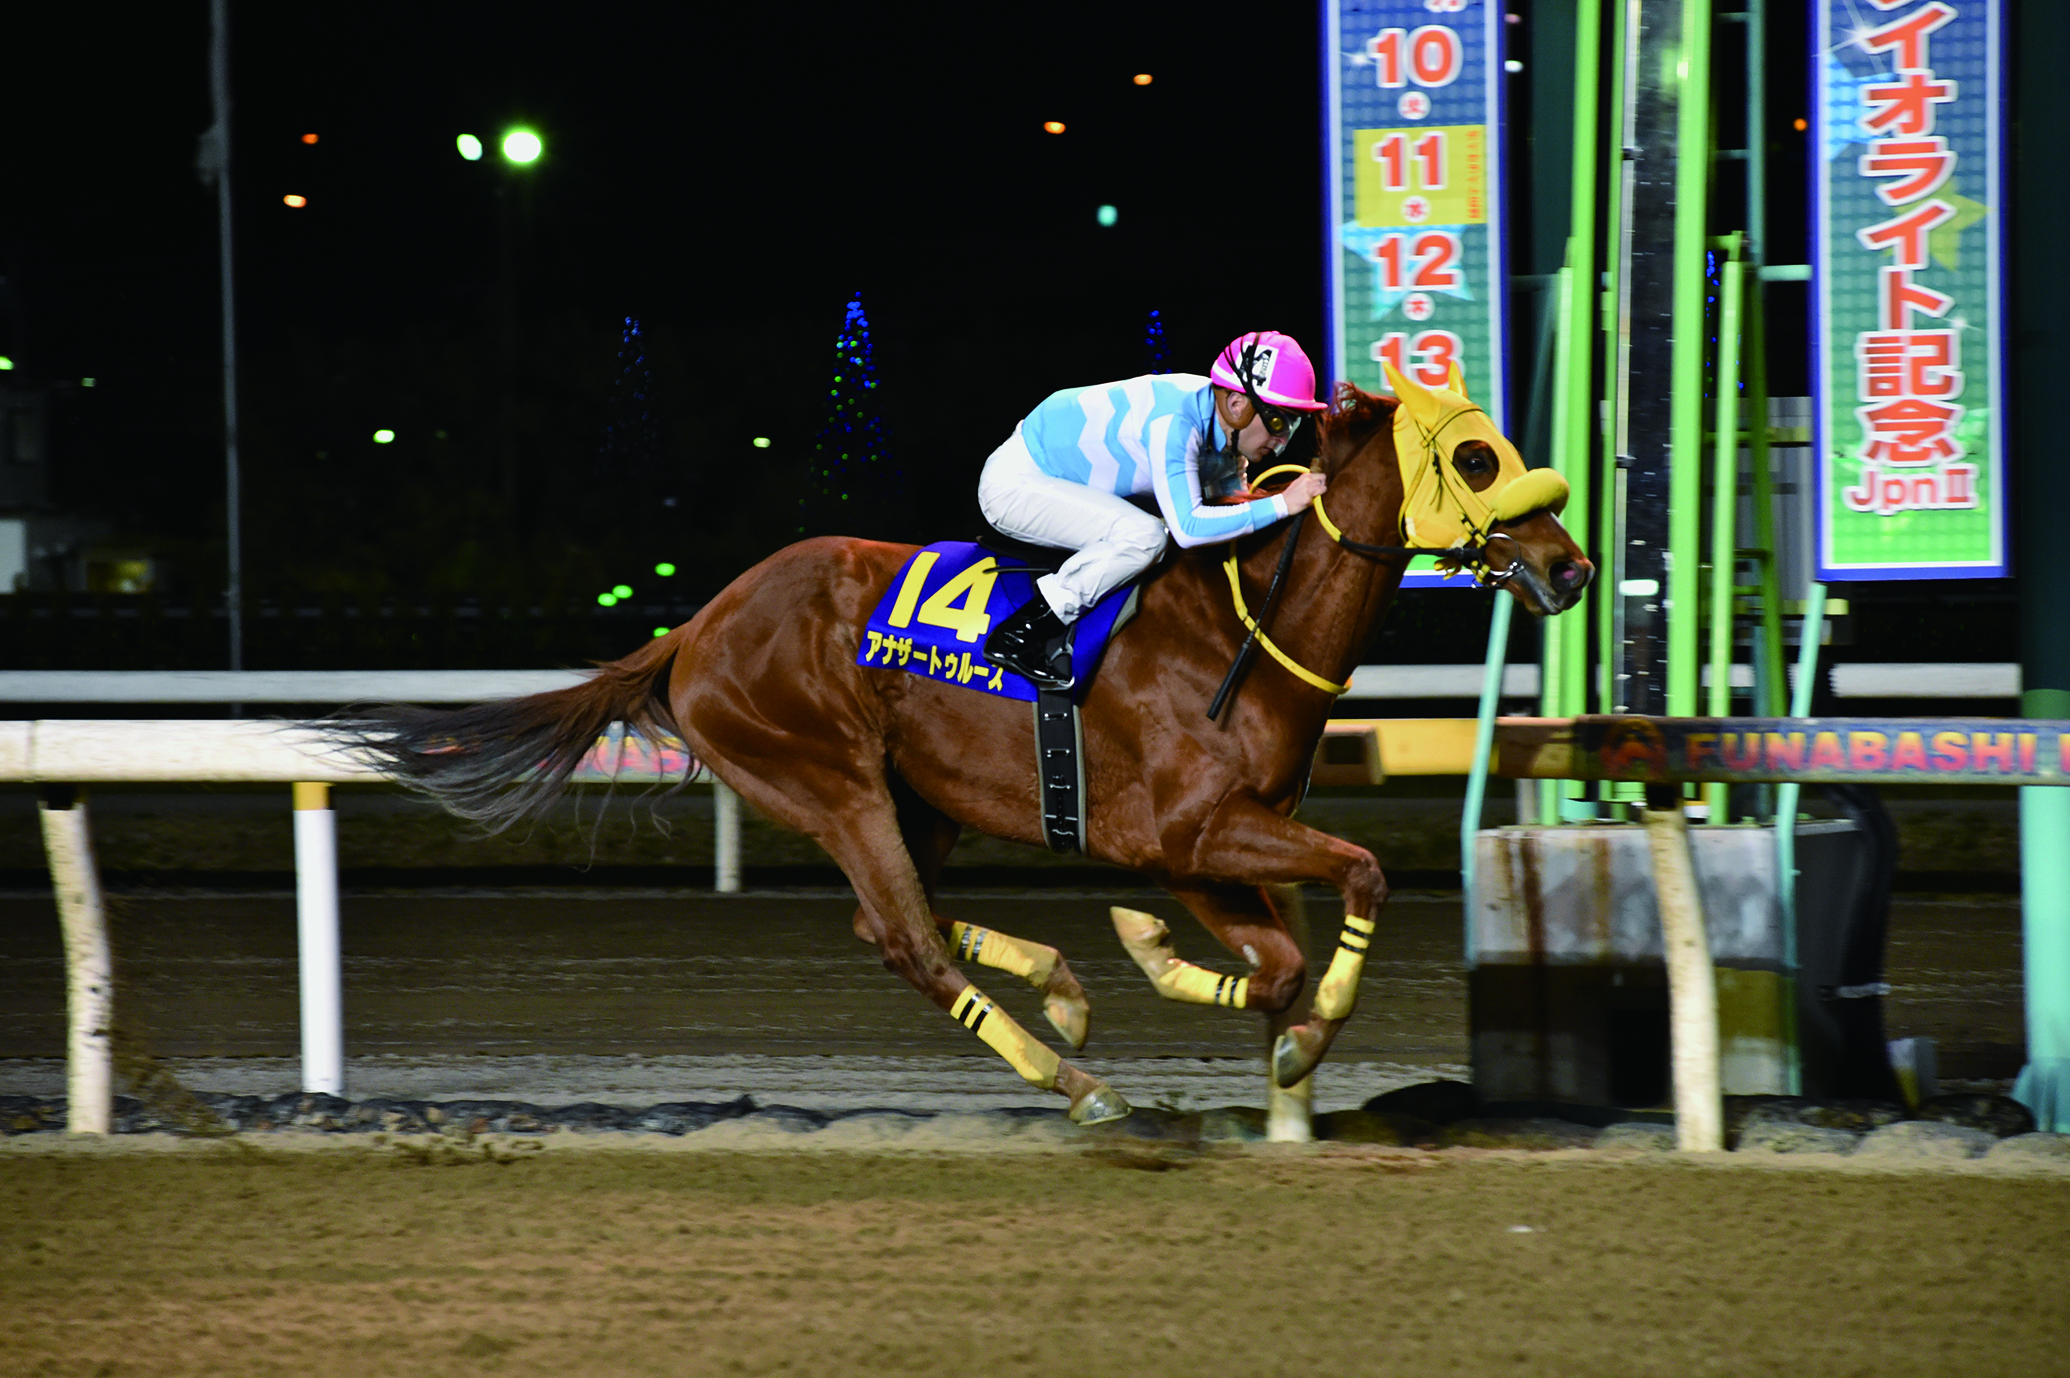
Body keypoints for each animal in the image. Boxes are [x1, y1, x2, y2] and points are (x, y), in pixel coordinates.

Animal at [327, 374, 1593, 1135]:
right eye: (1478, 461)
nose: (1571, 566)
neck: (1242, 629)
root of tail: (697, 626)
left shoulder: (1200, 848)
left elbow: (1276, 963)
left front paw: (1223, 1001)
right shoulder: (1186, 830)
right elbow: (1361, 878)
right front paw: (1292, 1025)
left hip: (913, 795)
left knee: (900, 921)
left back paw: (1065, 993)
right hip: (831, 780)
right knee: (905, 941)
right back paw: (1077, 1081)